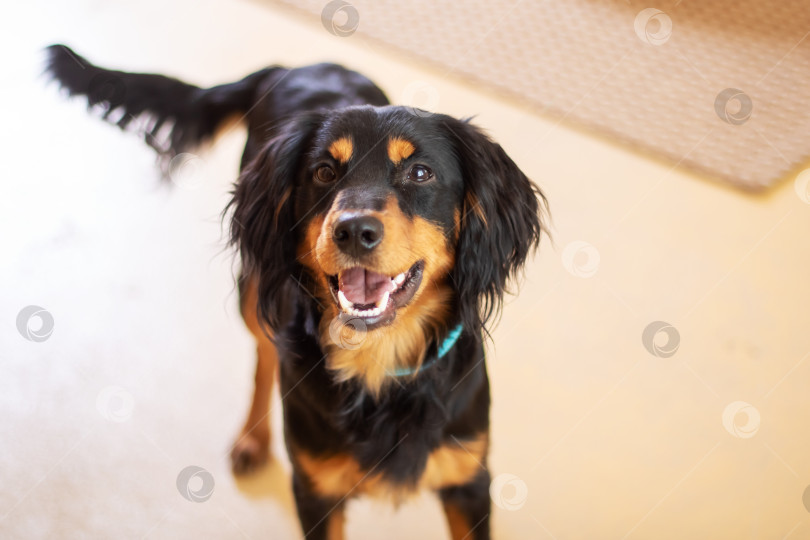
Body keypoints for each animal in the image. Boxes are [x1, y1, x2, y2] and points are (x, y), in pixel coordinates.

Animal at [45, 44, 548, 536]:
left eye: (420, 173)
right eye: (324, 171)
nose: (354, 231)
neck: (376, 360)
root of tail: (285, 67)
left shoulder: (469, 480)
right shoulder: (316, 489)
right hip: (254, 286)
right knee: (265, 354)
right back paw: (253, 438)